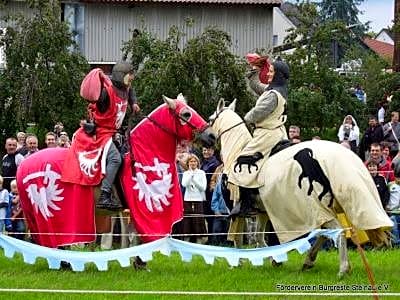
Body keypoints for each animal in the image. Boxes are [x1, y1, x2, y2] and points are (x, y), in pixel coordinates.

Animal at [211, 99, 392, 276]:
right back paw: (309, 260)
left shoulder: (236, 209)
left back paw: (342, 268)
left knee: (337, 232)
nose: (209, 139)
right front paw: (274, 259)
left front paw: (238, 262)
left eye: (212, 119)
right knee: (323, 233)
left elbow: (238, 237)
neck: (236, 151)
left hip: (318, 207)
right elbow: (258, 237)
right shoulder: (263, 211)